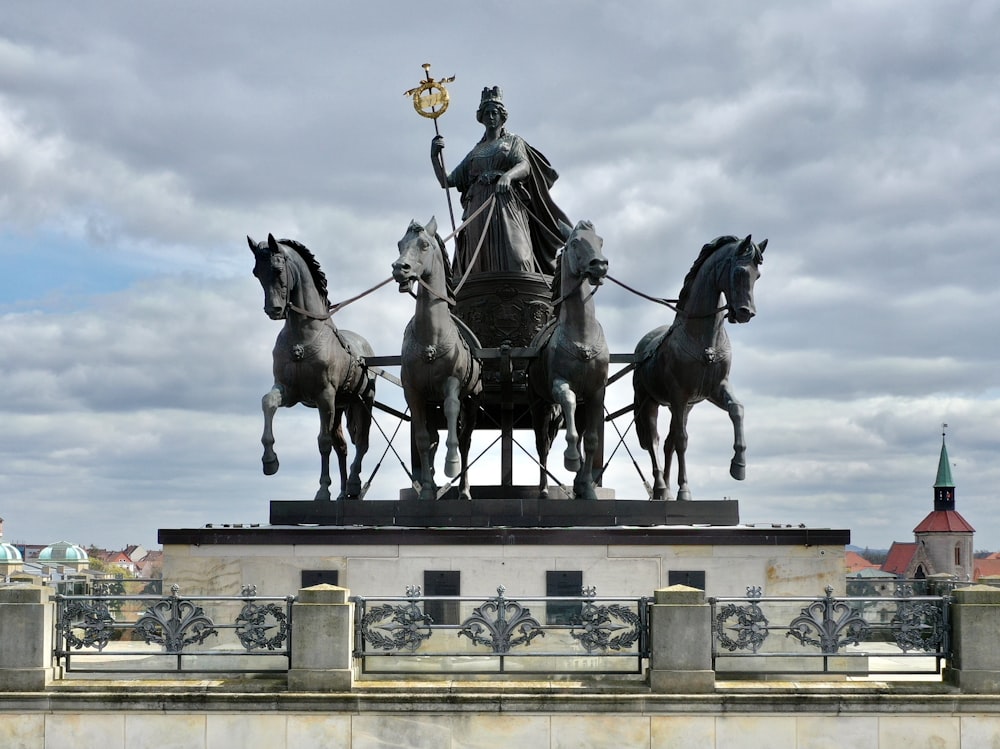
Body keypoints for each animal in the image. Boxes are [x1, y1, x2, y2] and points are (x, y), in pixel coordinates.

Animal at [249, 232, 376, 502]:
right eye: (256, 272)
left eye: (277, 269)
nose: (273, 310)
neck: (302, 335)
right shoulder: (289, 391)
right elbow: (268, 402)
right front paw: (269, 461)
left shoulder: (324, 396)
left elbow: (323, 442)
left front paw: (323, 490)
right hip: (340, 407)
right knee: (343, 446)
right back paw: (343, 492)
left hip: (362, 402)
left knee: (361, 442)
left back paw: (353, 485)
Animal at [392, 219, 482, 500]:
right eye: (400, 243)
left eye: (424, 245)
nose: (399, 268)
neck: (430, 337)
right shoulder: (414, 393)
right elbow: (423, 440)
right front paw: (427, 489)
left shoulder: (452, 384)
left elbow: (453, 413)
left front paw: (450, 464)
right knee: (432, 439)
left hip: (472, 403)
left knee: (465, 441)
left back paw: (463, 489)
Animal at [528, 218, 604, 496]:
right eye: (574, 243)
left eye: (600, 241)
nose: (599, 265)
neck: (582, 333)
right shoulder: (560, 384)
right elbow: (568, 400)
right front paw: (570, 459)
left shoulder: (595, 393)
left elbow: (591, 440)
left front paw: (587, 487)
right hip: (540, 405)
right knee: (542, 445)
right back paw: (543, 489)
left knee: (580, 433)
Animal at [632, 237, 764, 500]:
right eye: (739, 271)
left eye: (758, 275)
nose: (746, 313)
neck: (703, 340)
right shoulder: (679, 395)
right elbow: (682, 440)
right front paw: (684, 490)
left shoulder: (713, 390)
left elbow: (737, 410)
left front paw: (739, 466)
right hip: (649, 402)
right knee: (654, 441)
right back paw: (661, 487)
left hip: (684, 407)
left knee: (668, 442)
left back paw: (666, 490)